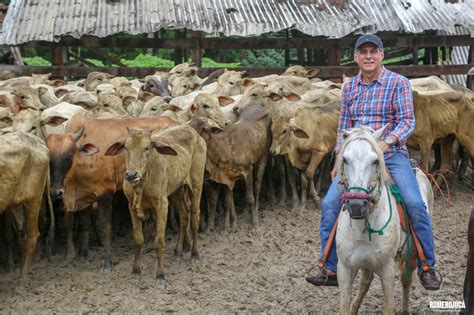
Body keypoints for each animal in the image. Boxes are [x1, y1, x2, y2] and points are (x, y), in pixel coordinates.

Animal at [45, 115, 176, 270]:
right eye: (49, 156)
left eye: (70, 155)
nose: (56, 192)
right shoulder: (84, 197)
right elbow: (84, 225)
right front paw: (82, 254)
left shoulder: (106, 193)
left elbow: (105, 227)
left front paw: (107, 260)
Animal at [104, 126, 205, 288]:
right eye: (126, 147)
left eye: (147, 148)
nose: (131, 175)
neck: (141, 187)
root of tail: (192, 131)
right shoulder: (131, 206)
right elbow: (138, 239)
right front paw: (136, 271)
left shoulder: (162, 205)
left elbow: (159, 241)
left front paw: (160, 276)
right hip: (176, 190)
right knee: (184, 215)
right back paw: (178, 251)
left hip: (196, 185)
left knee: (195, 219)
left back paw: (195, 254)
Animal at [336, 126, 434, 315]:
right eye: (344, 159)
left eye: (375, 161)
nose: (357, 205)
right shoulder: (344, 269)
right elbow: (344, 306)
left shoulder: (387, 270)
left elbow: (389, 306)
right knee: (365, 283)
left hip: (411, 255)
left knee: (405, 281)